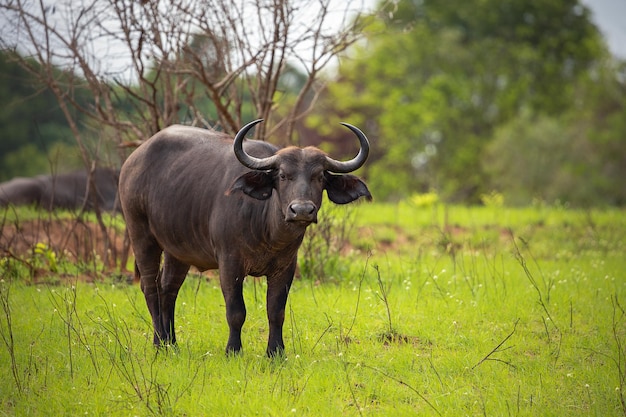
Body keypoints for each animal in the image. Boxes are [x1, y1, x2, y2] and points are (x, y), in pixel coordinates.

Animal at [119, 118, 368, 354]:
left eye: (319, 177)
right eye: (283, 175)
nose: (301, 210)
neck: (268, 233)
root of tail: (132, 161)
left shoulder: (286, 267)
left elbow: (276, 311)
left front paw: (276, 352)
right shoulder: (230, 263)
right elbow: (236, 311)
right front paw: (233, 350)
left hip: (177, 250)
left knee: (168, 288)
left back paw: (171, 344)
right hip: (141, 235)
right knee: (150, 288)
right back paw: (159, 342)